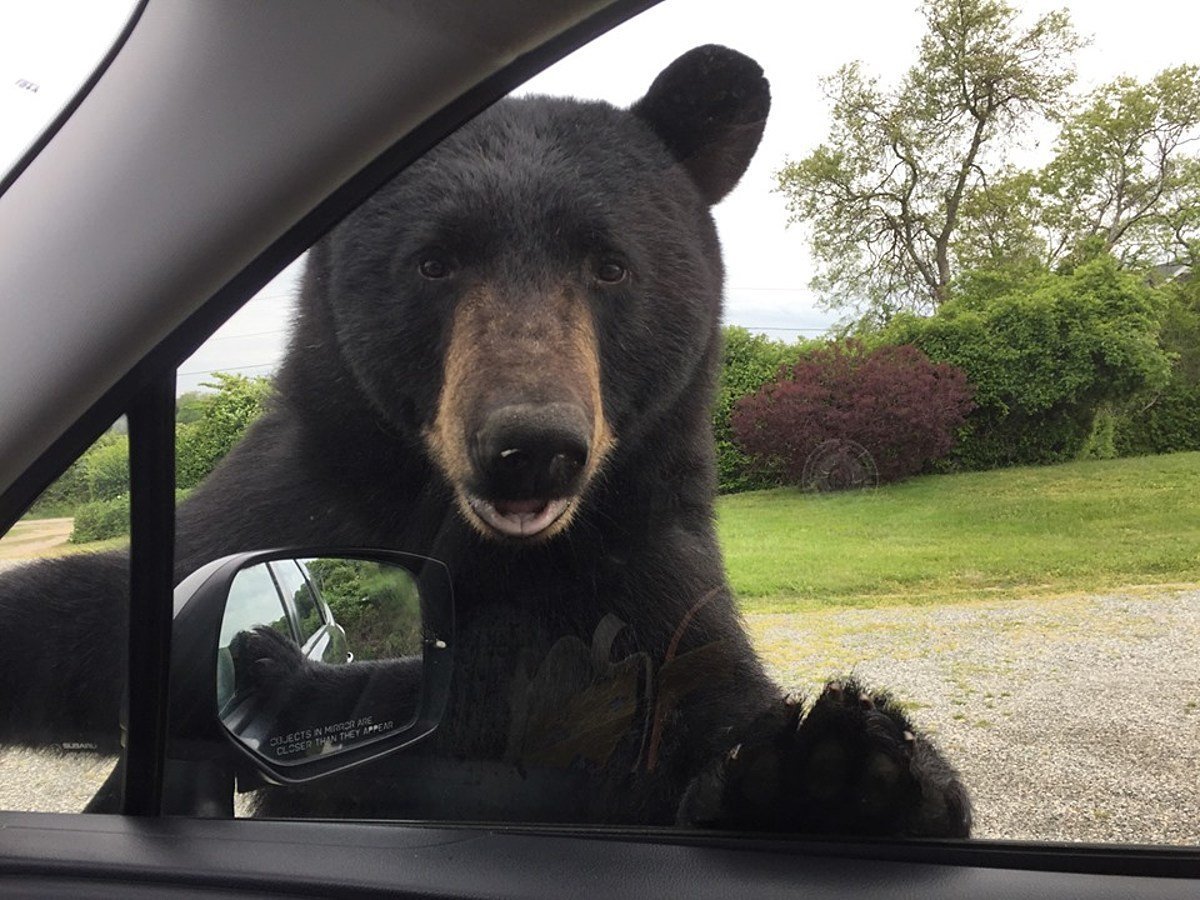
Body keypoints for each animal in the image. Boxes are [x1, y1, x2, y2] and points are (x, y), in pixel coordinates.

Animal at [0, 45, 970, 836]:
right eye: (434, 261)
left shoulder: (643, 566)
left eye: (610, 265)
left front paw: (839, 770)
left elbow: (700, 702)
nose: (530, 444)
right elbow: (112, 615)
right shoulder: (285, 502)